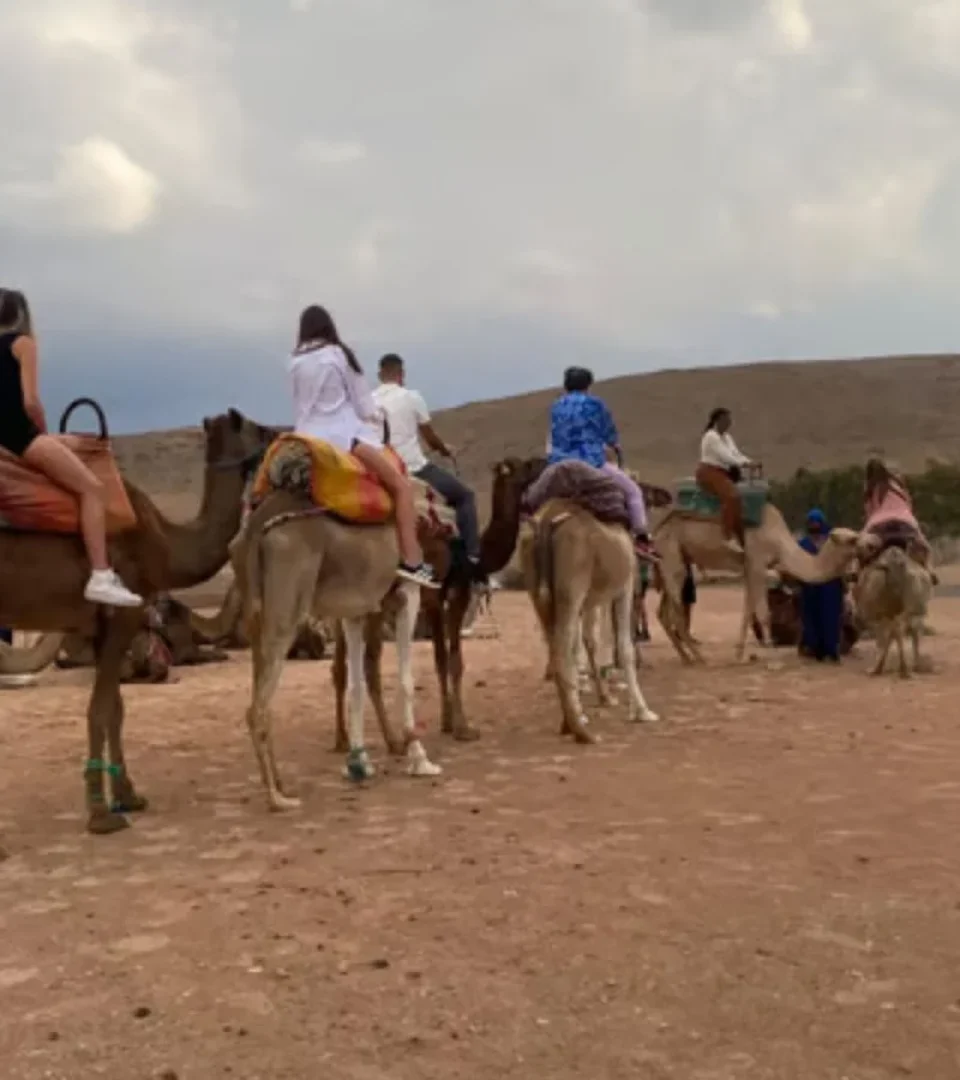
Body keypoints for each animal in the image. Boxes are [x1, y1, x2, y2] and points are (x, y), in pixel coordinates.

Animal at [0, 407, 274, 835]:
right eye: (255, 427)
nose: (283, 433)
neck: (163, 542)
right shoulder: (125, 615)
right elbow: (100, 710)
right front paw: (100, 814)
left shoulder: (101, 629)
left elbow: (115, 708)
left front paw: (128, 795)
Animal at [329, 456, 544, 754]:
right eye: (525, 465)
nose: (543, 461)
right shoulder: (455, 594)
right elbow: (454, 661)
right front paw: (463, 728)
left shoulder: (435, 601)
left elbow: (440, 659)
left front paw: (447, 721)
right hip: (377, 602)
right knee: (369, 665)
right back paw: (393, 741)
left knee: (339, 668)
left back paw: (342, 739)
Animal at [520, 501, 659, 744]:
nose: (649, 542)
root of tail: (546, 521)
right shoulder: (624, 589)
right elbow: (625, 647)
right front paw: (642, 711)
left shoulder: (591, 602)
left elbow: (589, 641)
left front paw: (605, 697)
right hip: (572, 587)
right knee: (563, 648)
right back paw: (582, 731)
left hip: (539, 593)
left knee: (556, 646)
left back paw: (569, 722)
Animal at [652, 501, 864, 664]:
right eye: (852, 539)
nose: (868, 544)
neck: (779, 542)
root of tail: (656, 532)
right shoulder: (757, 564)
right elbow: (763, 613)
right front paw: (773, 658)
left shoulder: (749, 569)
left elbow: (747, 612)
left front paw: (739, 655)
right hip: (672, 559)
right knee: (677, 614)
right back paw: (700, 658)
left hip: (671, 562)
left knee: (663, 614)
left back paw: (686, 657)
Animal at [854, 546, 933, 678]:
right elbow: (891, 635)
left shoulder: (880, 612)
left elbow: (887, 636)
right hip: (914, 602)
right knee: (908, 627)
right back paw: (910, 669)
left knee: (896, 629)